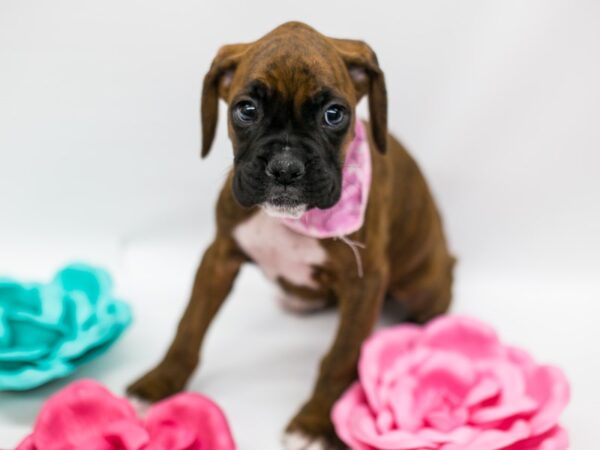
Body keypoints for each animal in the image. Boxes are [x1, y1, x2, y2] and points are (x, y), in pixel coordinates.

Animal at [127, 21, 454, 450]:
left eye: (334, 114)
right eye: (246, 110)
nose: (285, 167)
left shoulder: (364, 282)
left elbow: (340, 357)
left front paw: (315, 423)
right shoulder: (219, 257)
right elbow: (189, 325)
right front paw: (158, 384)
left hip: (422, 284)